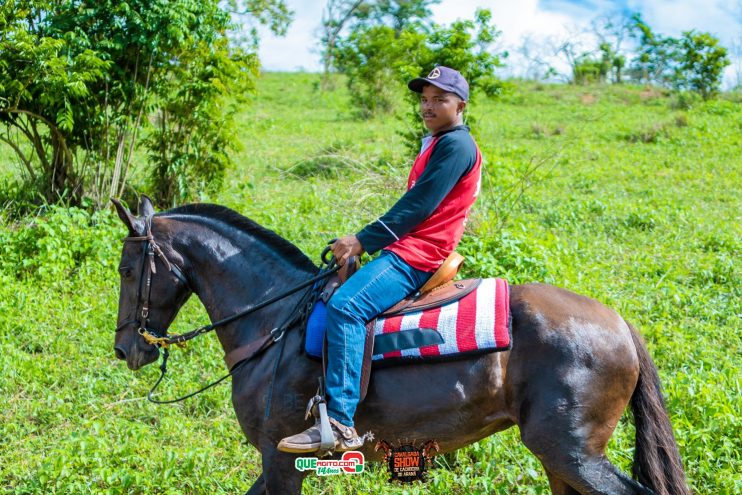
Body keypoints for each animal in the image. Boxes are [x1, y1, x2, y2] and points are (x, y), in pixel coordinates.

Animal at [110, 199, 692, 495]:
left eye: (126, 269)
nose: (124, 350)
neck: (274, 321)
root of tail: (619, 324)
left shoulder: (279, 458)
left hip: (570, 451)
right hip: (560, 457)